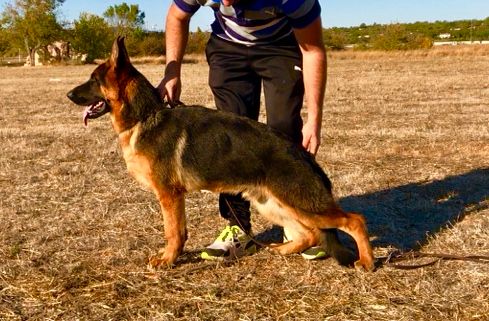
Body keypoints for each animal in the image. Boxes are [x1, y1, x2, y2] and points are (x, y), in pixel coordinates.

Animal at [66, 38, 374, 272]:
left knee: (354, 220)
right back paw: (284, 249)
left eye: (93, 80)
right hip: (274, 204)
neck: (145, 116)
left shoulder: (169, 196)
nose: (68, 95)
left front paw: (168, 260)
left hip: (301, 204)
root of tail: (304, 153)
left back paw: (367, 262)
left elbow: (174, 232)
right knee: (309, 233)